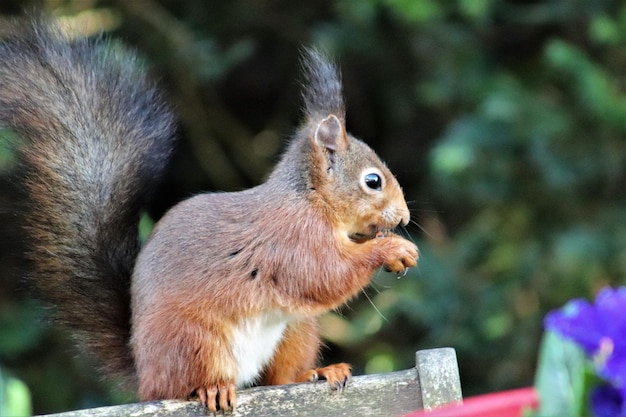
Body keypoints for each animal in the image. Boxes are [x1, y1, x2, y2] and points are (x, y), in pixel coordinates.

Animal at [1, 18, 420, 410]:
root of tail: (144, 376)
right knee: (184, 386)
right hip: (194, 338)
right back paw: (212, 389)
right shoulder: (291, 240)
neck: (311, 201)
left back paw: (318, 372)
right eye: (372, 181)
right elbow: (323, 276)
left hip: (295, 330)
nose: (402, 218)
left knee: (280, 377)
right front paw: (392, 249)